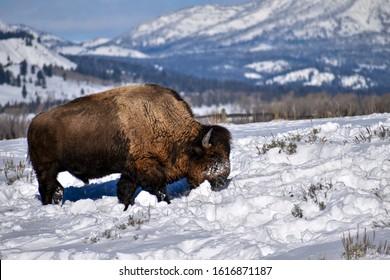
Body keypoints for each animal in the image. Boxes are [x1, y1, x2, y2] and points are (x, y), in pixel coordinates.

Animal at [28, 85, 232, 210]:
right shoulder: (147, 168)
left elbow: (125, 190)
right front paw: (166, 204)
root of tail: (34, 122)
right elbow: (158, 189)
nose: (222, 179)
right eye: (213, 155)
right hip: (46, 168)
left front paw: (124, 207)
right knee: (47, 188)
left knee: (57, 188)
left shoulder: (131, 170)